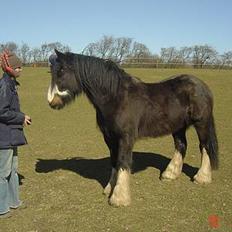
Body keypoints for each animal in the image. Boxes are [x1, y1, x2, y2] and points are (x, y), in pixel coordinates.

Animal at [46, 49, 218, 207]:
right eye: (51, 71)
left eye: (61, 71)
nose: (52, 102)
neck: (116, 97)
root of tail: (201, 85)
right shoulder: (109, 137)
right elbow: (114, 161)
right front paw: (109, 189)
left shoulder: (125, 137)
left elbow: (123, 162)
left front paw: (119, 198)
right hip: (178, 127)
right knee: (181, 145)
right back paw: (169, 174)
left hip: (201, 123)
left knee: (204, 146)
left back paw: (201, 178)